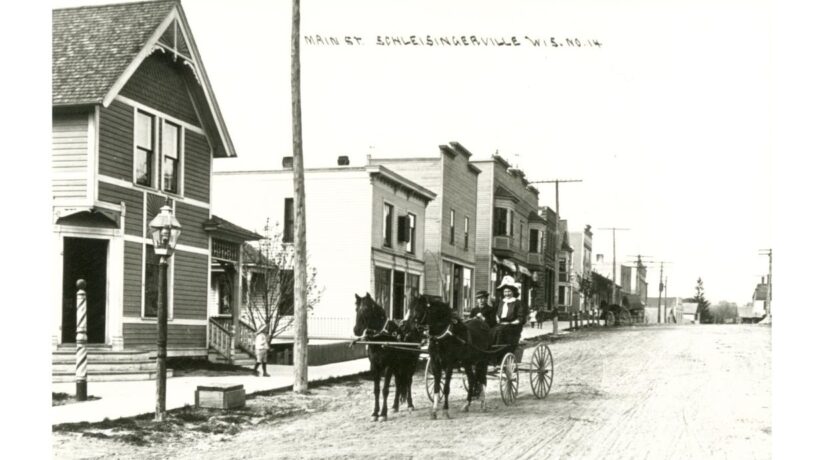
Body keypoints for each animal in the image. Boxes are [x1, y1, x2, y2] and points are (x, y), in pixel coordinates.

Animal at [352, 292, 422, 422]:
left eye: (367, 309)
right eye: (356, 309)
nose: (356, 330)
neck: (381, 338)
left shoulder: (388, 366)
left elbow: (385, 390)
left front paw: (383, 413)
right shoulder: (375, 365)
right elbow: (376, 390)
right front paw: (375, 413)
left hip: (411, 363)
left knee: (408, 381)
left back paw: (410, 404)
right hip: (398, 366)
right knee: (399, 383)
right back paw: (395, 406)